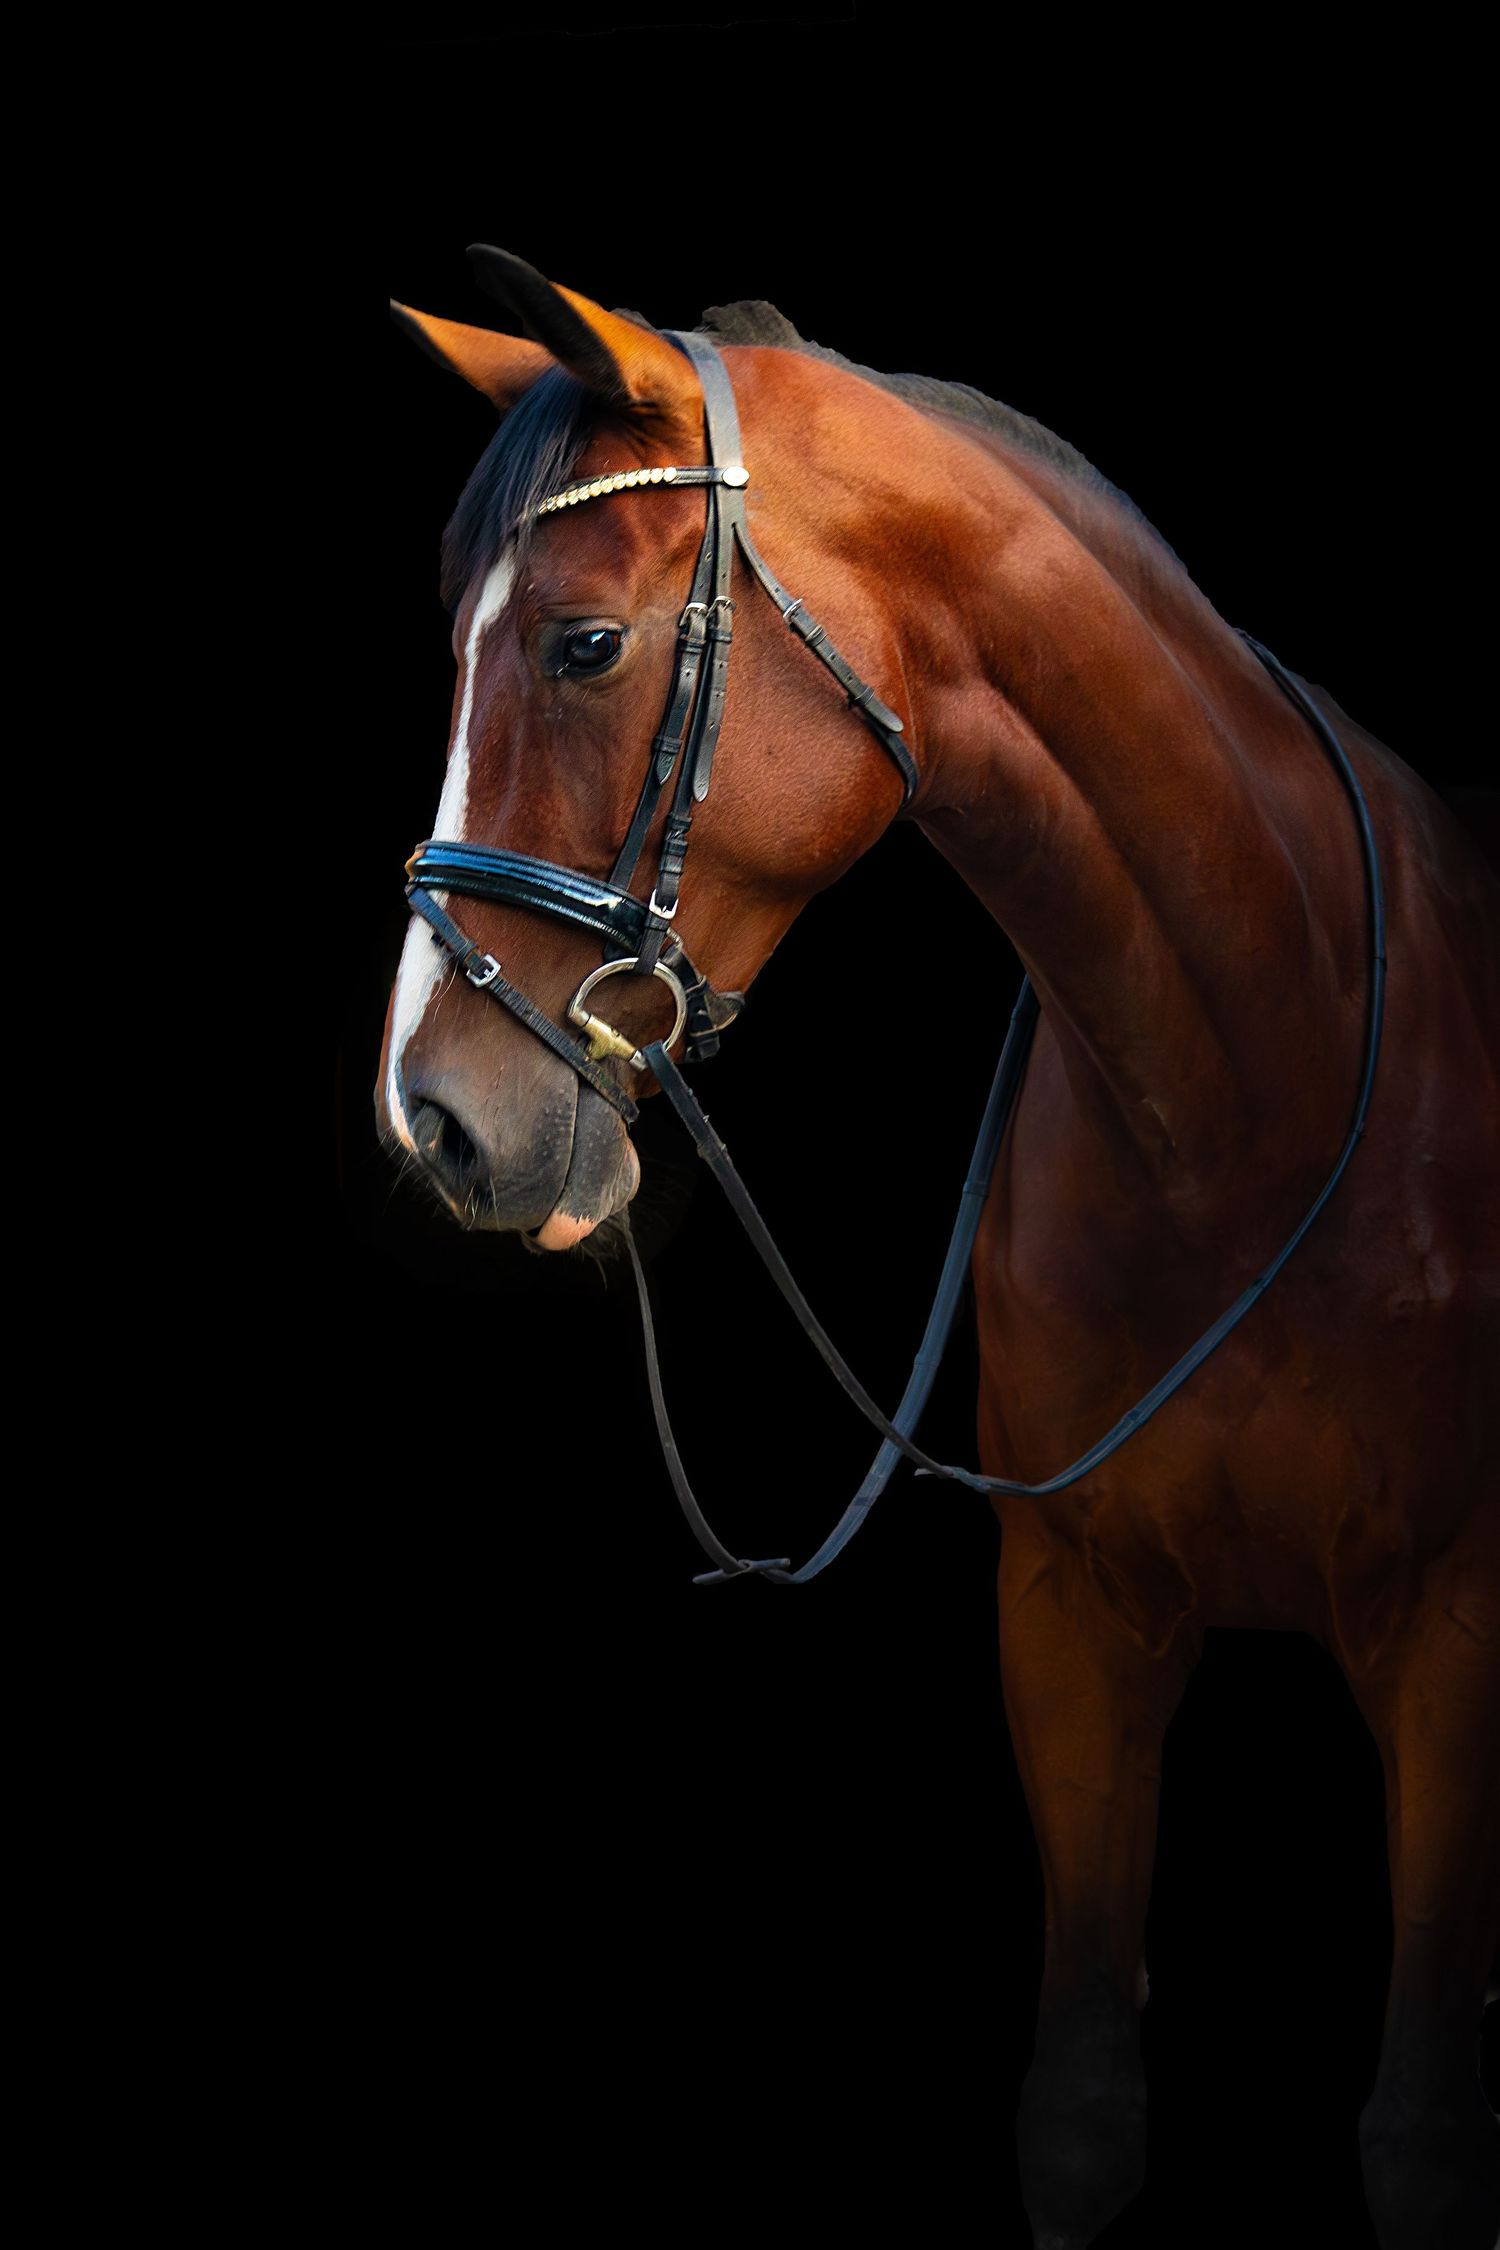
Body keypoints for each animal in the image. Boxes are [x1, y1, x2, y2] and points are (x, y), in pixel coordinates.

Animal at [377, 247, 1499, 2250]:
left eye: (582, 645)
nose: (427, 1117)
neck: (1253, 1088)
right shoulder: (1067, 1617)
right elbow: (1080, 2111)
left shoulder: (1452, 1630)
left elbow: (1428, 2140)